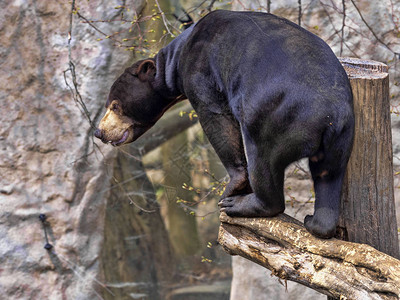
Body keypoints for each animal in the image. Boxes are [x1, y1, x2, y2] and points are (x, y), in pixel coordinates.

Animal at [95, 9, 354, 239]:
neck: (178, 57)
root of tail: (331, 115)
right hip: (340, 140)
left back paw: (242, 203)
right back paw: (316, 222)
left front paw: (232, 189)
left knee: (263, 160)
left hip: (273, 119)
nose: (99, 132)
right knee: (328, 176)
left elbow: (215, 116)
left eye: (114, 105)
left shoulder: (201, 69)